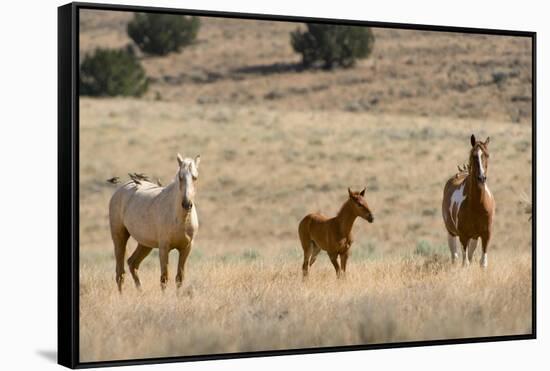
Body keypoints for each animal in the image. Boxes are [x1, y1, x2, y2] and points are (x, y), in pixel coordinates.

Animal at [109, 155, 202, 294]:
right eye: (180, 177)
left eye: (195, 177)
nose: (186, 204)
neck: (180, 220)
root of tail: (121, 188)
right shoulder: (164, 248)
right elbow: (164, 278)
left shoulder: (186, 248)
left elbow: (179, 278)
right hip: (119, 237)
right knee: (120, 273)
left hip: (144, 244)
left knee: (132, 263)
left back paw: (141, 292)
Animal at [442, 135, 498, 268]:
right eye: (473, 155)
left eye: (487, 155)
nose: (481, 178)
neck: (477, 205)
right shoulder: (463, 236)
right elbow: (465, 262)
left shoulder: (486, 235)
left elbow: (482, 263)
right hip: (452, 233)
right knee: (455, 256)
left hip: (474, 237)